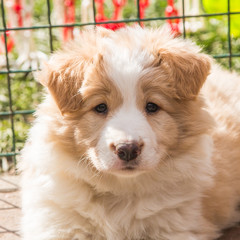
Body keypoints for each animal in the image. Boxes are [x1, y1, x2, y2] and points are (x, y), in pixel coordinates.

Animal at [20, 27, 240, 239]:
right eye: (100, 107)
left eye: (152, 106)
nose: (127, 150)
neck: (121, 189)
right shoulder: (58, 221)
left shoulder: (178, 225)